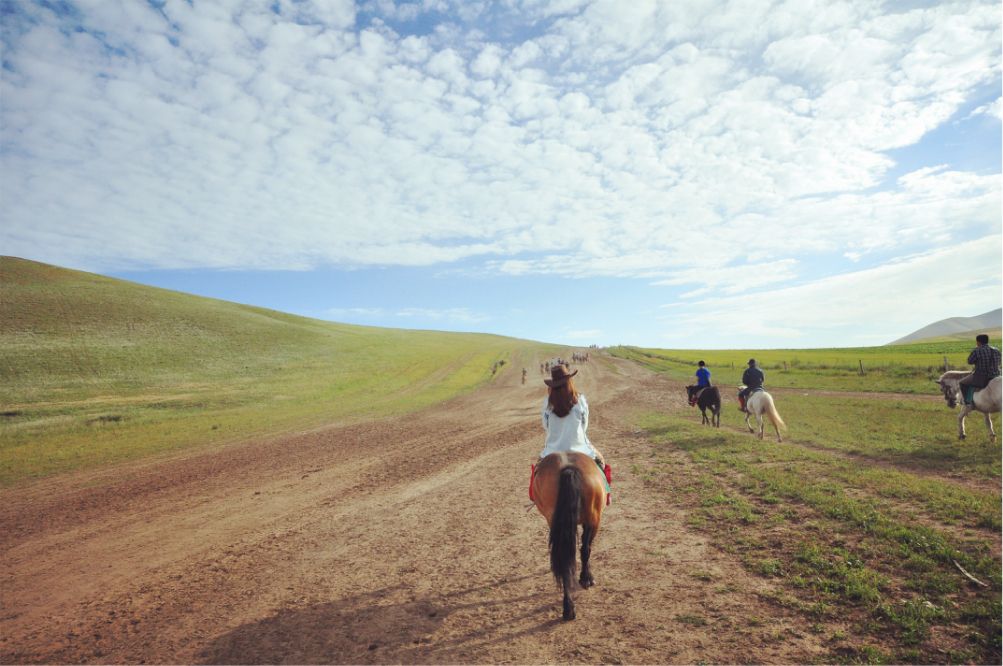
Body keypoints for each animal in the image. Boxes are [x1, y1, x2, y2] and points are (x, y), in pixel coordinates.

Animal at [533, 449, 601, 621]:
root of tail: (568, 468)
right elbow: (585, 549)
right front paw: (586, 578)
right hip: (594, 519)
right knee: (584, 549)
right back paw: (585, 580)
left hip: (556, 521)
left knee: (563, 557)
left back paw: (568, 608)